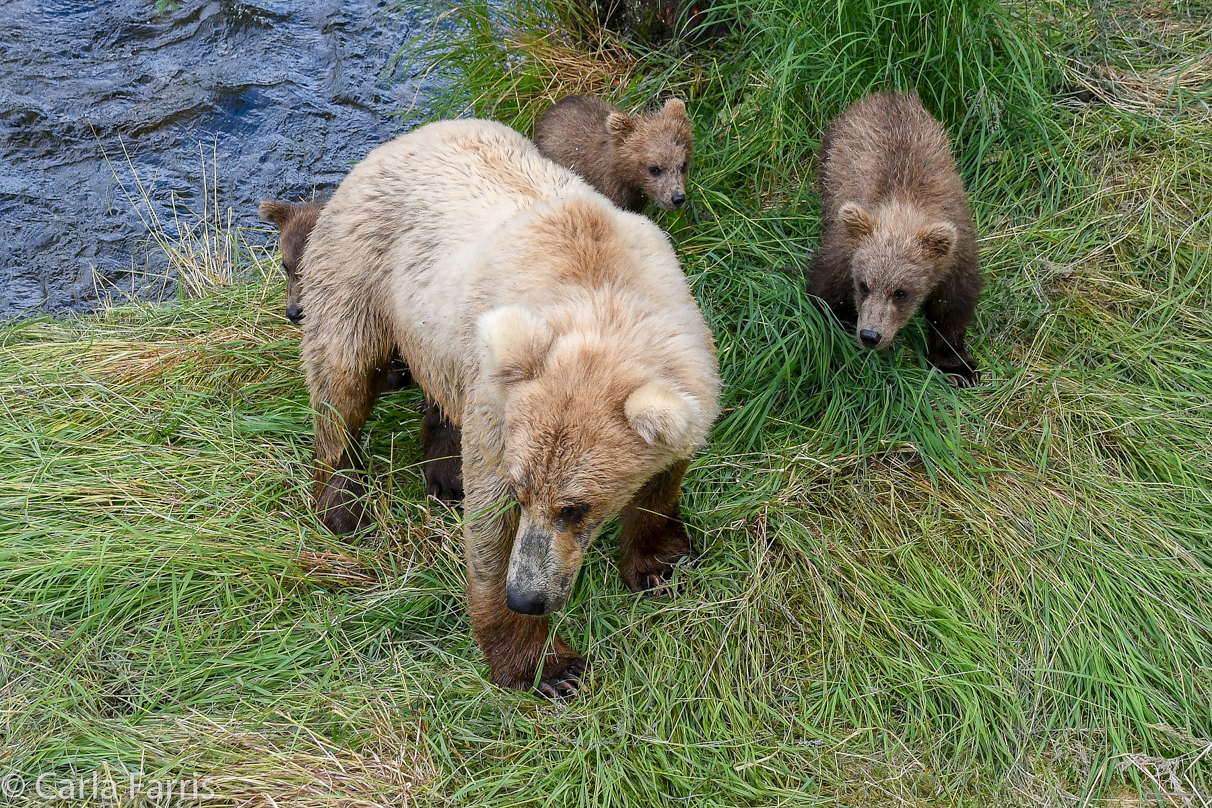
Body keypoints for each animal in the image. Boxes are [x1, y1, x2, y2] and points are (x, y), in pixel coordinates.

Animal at [299, 116, 717, 697]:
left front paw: (659, 563)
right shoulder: (500, 416)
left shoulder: (689, 367)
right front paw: (546, 666)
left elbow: (663, 478)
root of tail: (396, 142)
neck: (602, 294)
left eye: (575, 507)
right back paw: (342, 505)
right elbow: (490, 533)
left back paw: (443, 471)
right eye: (523, 493)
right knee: (342, 380)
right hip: (359, 268)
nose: (529, 596)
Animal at [804, 90, 984, 387]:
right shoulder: (844, 248)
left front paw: (958, 366)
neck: (904, 202)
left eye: (901, 292)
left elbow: (952, 308)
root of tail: (887, 94)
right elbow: (825, 293)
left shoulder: (956, 256)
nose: (870, 335)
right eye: (863, 284)